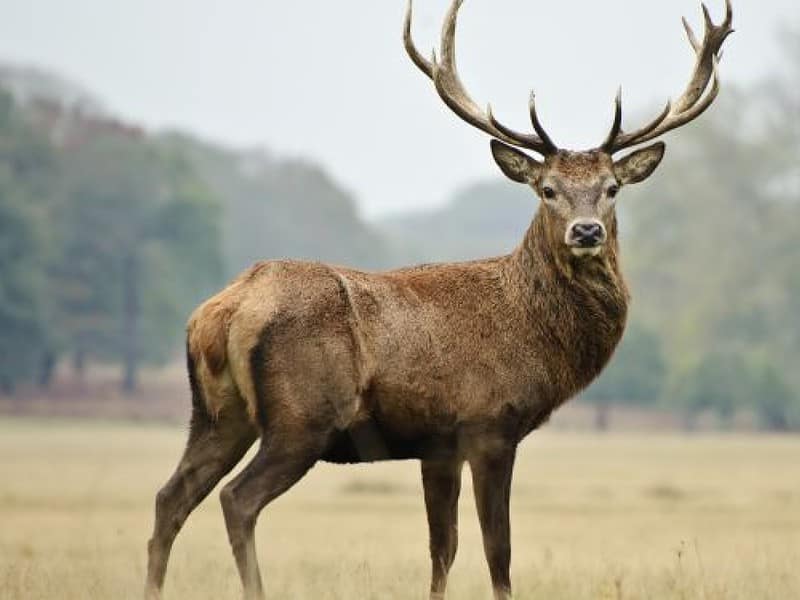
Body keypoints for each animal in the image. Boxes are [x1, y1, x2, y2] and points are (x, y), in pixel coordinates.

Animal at [142, 2, 732, 596]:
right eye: (547, 189)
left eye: (612, 188)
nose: (586, 231)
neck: (535, 334)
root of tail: (222, 310)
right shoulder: (489, 424)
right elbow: (498, 549)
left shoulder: (437, 444)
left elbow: (442, 549)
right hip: (301, 417)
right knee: (237, 499)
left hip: (217, 414)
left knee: (170, 497)